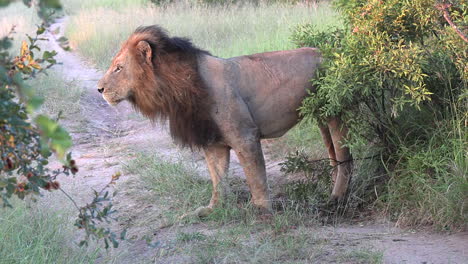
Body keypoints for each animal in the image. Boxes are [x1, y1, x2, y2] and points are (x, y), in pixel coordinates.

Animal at [97, 24, 352, 216]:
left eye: (118, 68)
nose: (99, 89)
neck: (175, 89)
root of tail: (330, 52)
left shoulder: (245, 135)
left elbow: (256, 176)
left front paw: (261, 210)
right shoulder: (213, 142)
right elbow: (217, 177)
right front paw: (212, 208)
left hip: (336, 115)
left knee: (346, 159)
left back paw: (336, 199)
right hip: (321, 118)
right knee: (333, 157)